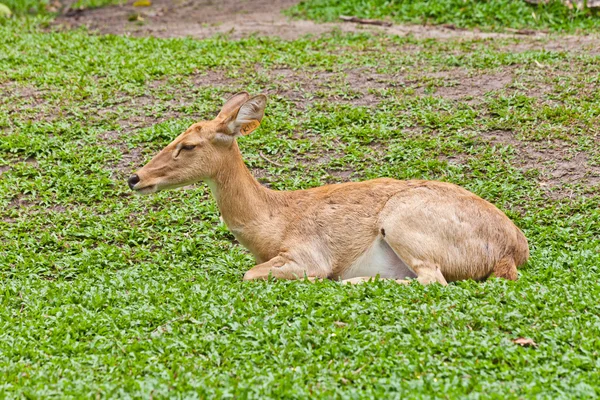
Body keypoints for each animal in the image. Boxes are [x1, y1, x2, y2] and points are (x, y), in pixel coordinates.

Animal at [127, 92, 528, 284]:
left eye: (188, 145)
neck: (272, 224)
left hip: (404, 222)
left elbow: (249, 274)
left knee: (433, 279)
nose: (135, 178)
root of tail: (512, 252)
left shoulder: (309, 256)